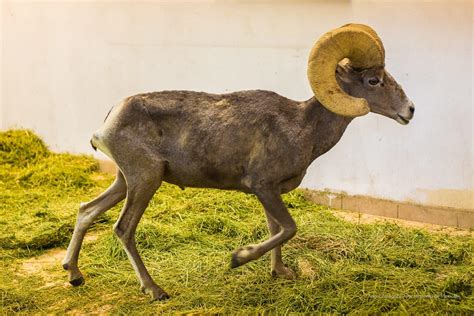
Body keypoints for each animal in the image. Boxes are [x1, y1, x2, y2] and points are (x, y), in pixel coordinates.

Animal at [63, 23, 414, 300]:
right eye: (373, 81)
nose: (409, 110)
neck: (302, 127)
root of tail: (108, 123)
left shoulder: (270, 193)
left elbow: (276, 228)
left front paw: (280, 272)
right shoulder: (263, 187)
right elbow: (288, 228)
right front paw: (237, 259)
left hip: (125, 182)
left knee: (86, 210)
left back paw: (74, 274)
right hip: (145, 180)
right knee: (123, 229)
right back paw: (155, 290)